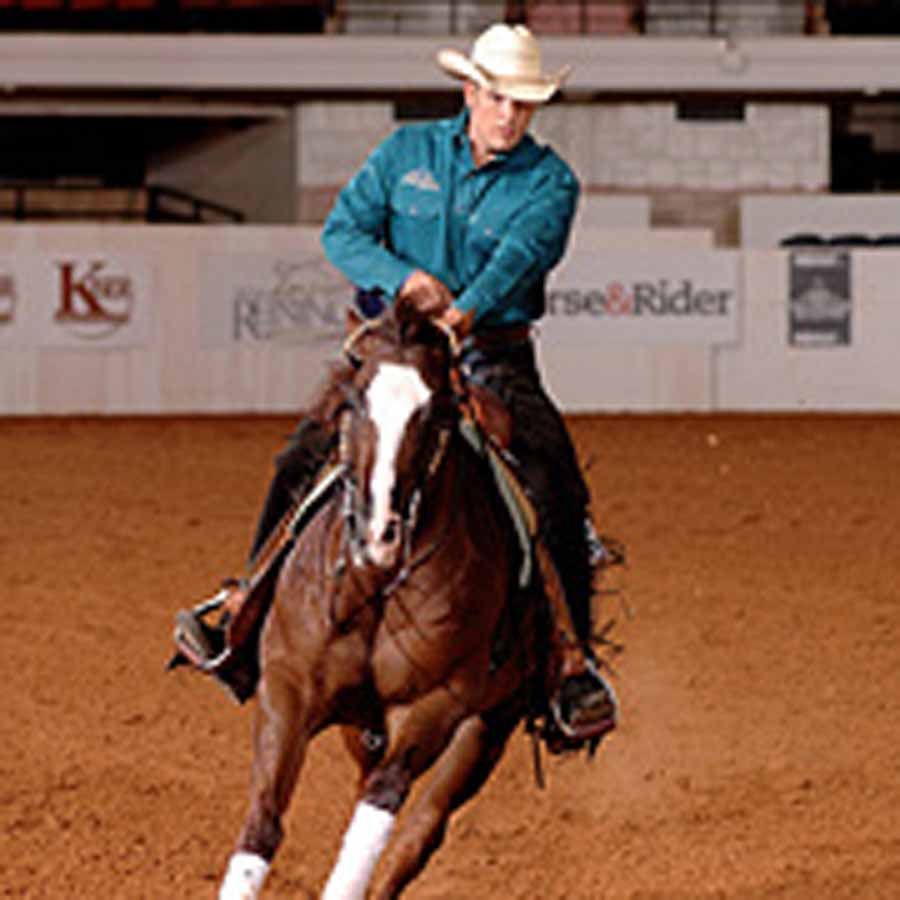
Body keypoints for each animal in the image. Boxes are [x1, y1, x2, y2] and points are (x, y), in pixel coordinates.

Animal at [218, 303, 589, 900]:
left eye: (436, 411)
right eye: (352, 402)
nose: (379, 535)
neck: (375, 583)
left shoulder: (435, 704)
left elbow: (381, 808)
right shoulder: (288, 686)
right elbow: (262, 821)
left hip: (488, 725)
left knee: (419, 829)